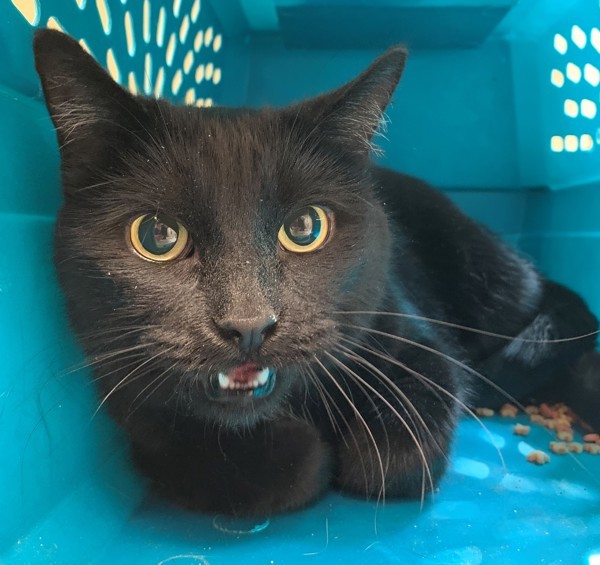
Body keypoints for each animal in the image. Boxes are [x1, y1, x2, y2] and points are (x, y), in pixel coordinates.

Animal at [35, 29, 596, 516]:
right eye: (157, 236)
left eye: (305, 227)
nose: (249, 325)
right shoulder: (128, 400)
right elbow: (235, 460)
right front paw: (307, 455)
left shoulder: (416, 340)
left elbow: (397, 455)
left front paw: (356, 457)